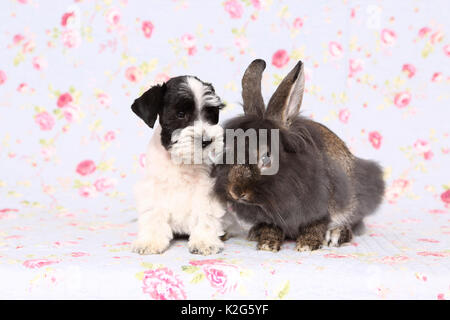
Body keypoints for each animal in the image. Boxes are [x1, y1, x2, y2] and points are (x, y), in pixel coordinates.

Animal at [132, 75, 227, 255]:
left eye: (210, 113)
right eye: (180, 114)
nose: (206, 141)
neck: (181, 160)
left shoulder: (205, 188)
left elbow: (205, 215)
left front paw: (204, 241)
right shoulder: (154, 187)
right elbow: (154, 214)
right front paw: (150, 241)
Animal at [213, 58, 384, 251]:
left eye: (266, 157)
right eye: (230, 150)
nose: (235, 191)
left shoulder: (321, 208)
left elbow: (315, 225)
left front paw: (306, 245)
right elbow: (271, 227)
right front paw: (267, 243)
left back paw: (336, 235)